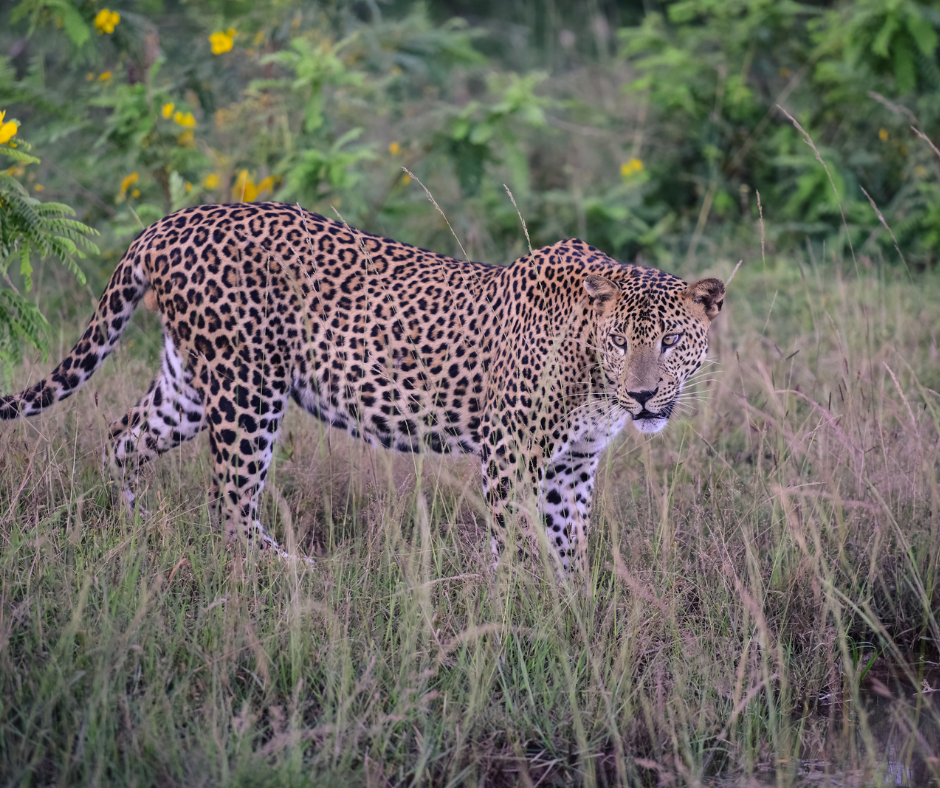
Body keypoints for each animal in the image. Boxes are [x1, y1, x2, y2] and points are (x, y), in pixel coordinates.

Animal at [0, 203, 728, 572]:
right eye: (621, 341)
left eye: (670, 341)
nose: (643, 397)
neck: (592, 377)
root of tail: (170, 222)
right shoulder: (508, 449)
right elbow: (515, 537)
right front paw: (514, 607)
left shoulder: (574, 461)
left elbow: (567, 539)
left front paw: (572, 606)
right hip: (247, 386)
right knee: (228, 504)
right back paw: (293, 574)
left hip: (191, 382)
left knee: (122, 437)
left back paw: (131, 533)